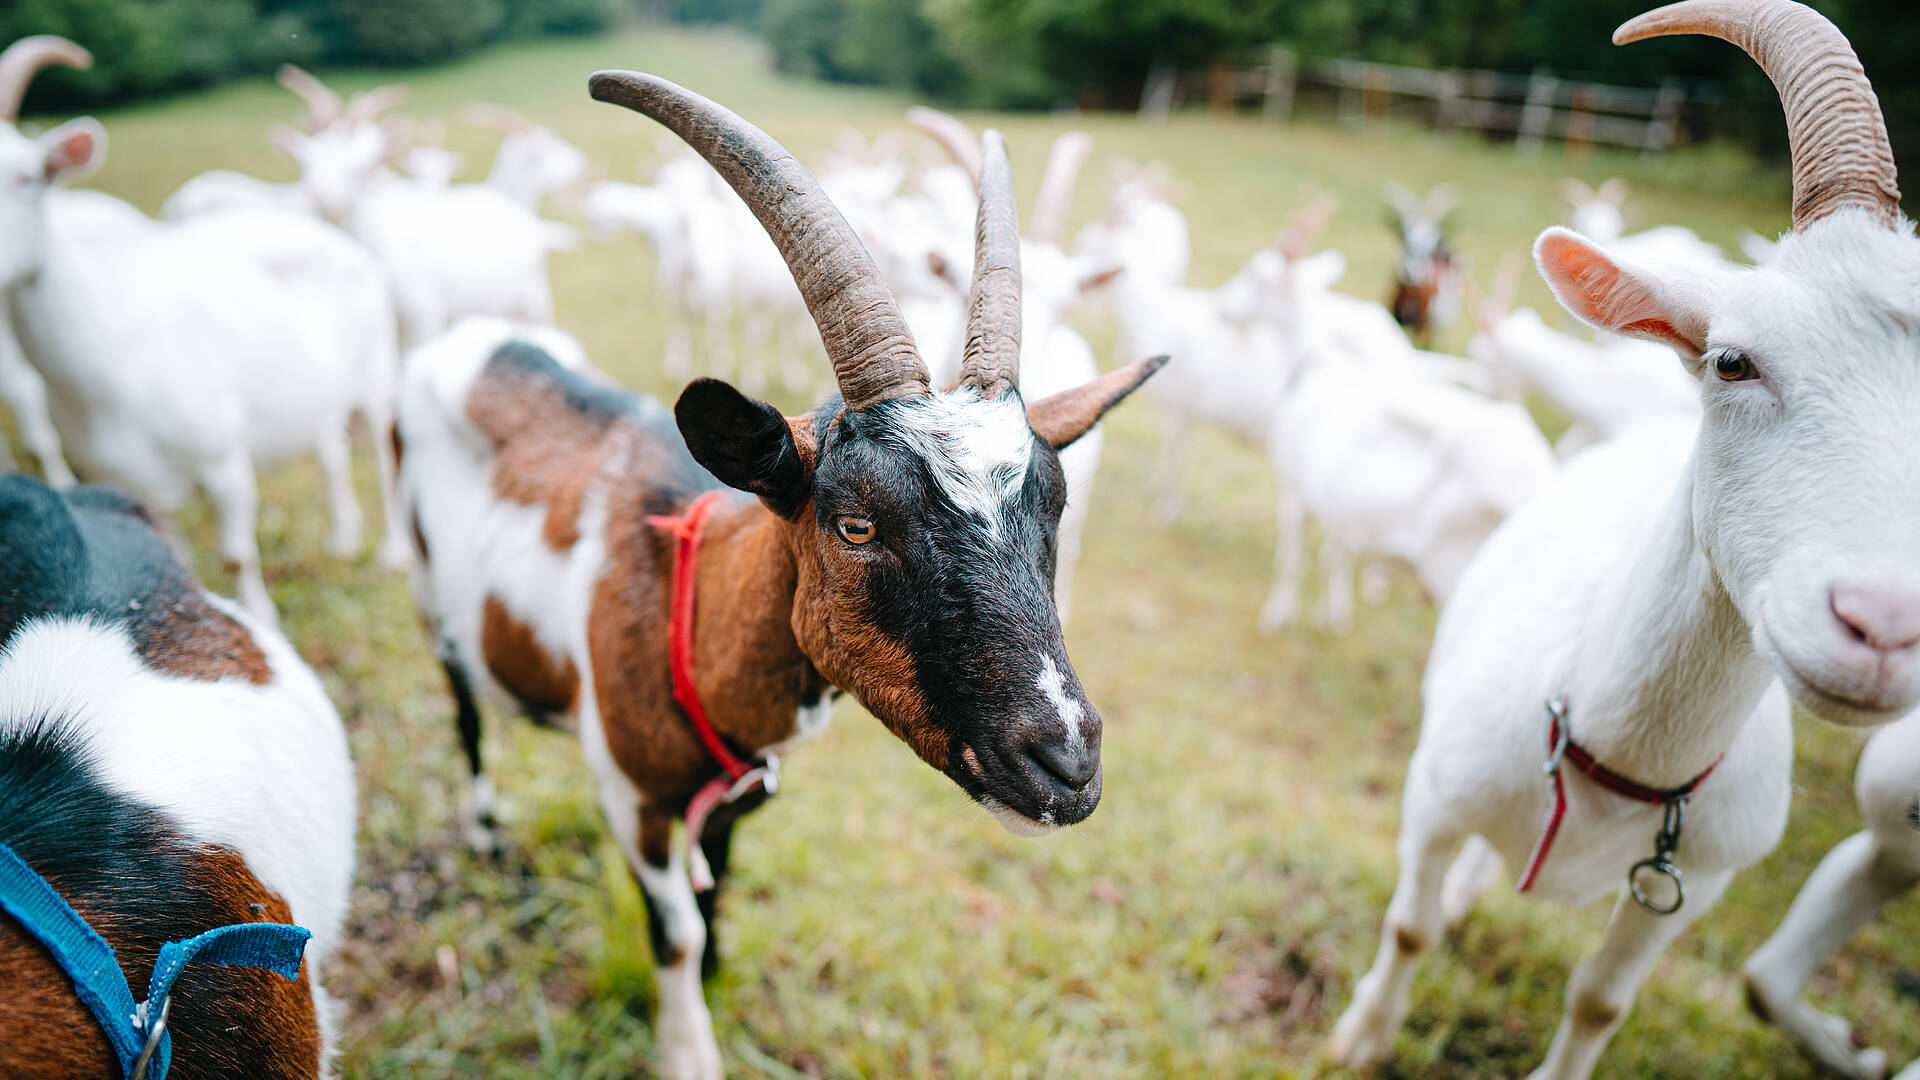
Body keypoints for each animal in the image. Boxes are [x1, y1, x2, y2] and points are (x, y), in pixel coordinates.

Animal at [397, 71, 1159, 1068]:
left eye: (1057, 506)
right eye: (857, 525)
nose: (1065, 765)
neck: (692, 613)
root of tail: (468, 338)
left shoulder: (733, 800)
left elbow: (717, 887)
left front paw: (720, 977)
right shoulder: (631, 798)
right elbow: (675, 929)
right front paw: (689, 1049)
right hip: (425, 585)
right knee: (462, 708)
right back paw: (488, 835)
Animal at [1328, 8, 1920, 1076]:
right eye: (1732, 361)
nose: (1881, 629)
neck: (1621, 766)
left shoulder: (1692, 891)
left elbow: (1601, 1000)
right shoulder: (1432, 797)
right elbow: (1408, 926)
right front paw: (1360, 1036)